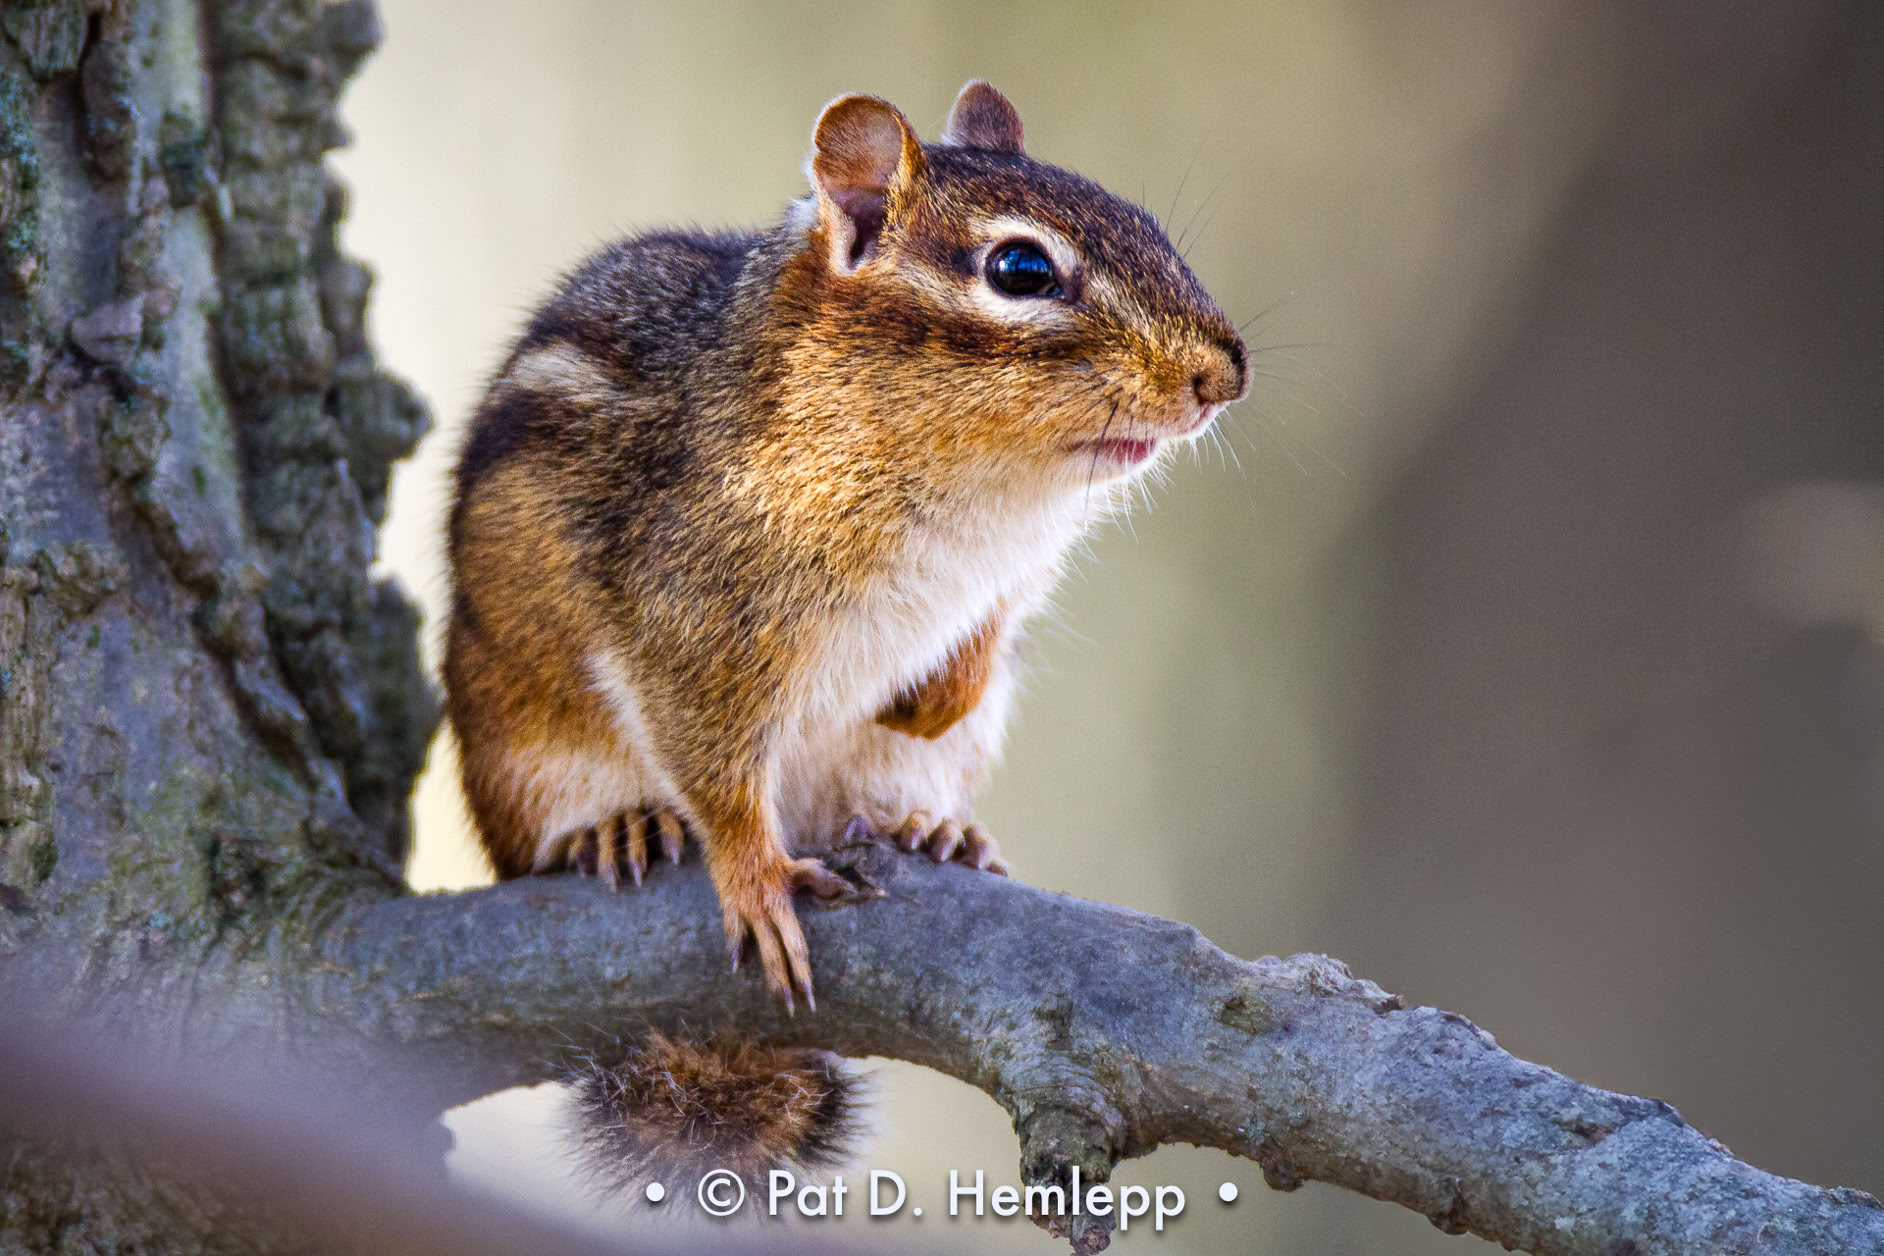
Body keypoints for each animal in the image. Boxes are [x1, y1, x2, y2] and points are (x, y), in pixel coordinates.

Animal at [443, 81, 1247, 1188]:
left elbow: (987, 634)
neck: (979, 495)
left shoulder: (1010, 582)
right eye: (1022, 269)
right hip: (519, 762)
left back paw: (936, 827)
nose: (1227, 373)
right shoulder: (694, 622)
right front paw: (756, 876)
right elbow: (714, 762)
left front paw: (935, 696)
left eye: (1148, 225)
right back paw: (617, 827)